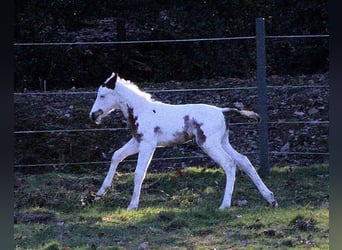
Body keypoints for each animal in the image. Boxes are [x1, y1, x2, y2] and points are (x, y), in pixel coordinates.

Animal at [89, 72, 276, 211]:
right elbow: (116, 155)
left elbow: (139, 172)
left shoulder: (148, 144)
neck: (141, 110)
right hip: (222, 142)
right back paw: (270, 198)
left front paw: (132, 206)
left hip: (209, 144)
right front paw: (99, 193)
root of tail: (222, 111)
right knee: (244, 160)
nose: (93, 115)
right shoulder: (137, 142)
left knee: (230, 164)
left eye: (102, 95)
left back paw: (225, 205)